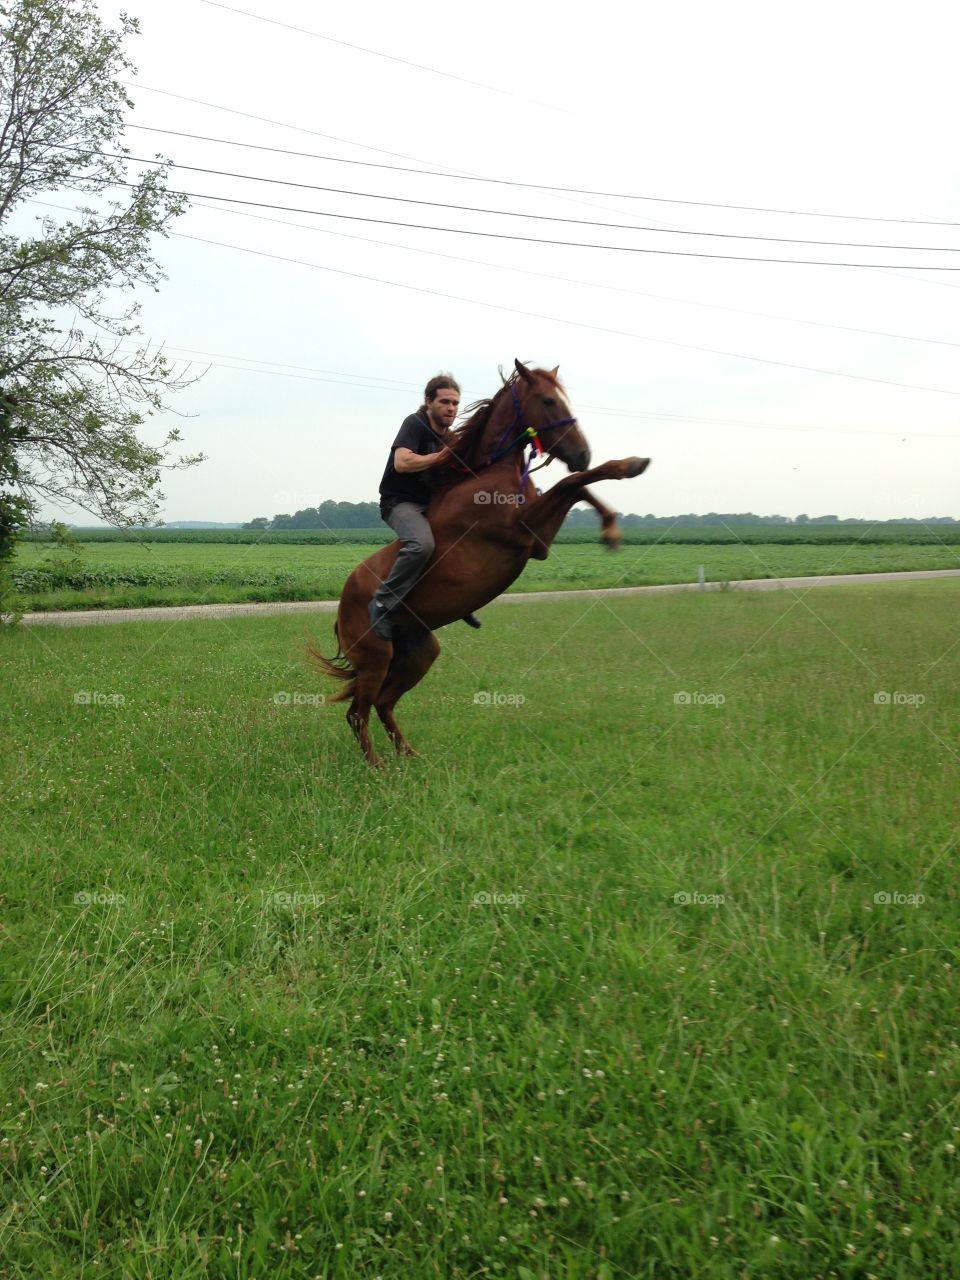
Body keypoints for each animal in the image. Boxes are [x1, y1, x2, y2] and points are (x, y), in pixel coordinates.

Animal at [310, 360, 650, 767]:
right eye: (548, 401)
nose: (582, 452)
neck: (489, 472)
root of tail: (342, 604)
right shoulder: (527, 531)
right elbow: (574, 482)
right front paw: (628, 468)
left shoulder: (537, 540)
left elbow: (578, 483)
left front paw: (611, 525)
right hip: (375, 657)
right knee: (358, 713)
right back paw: (379, 768)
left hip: (419, 652)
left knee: (382, 704)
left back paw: (411, 756)